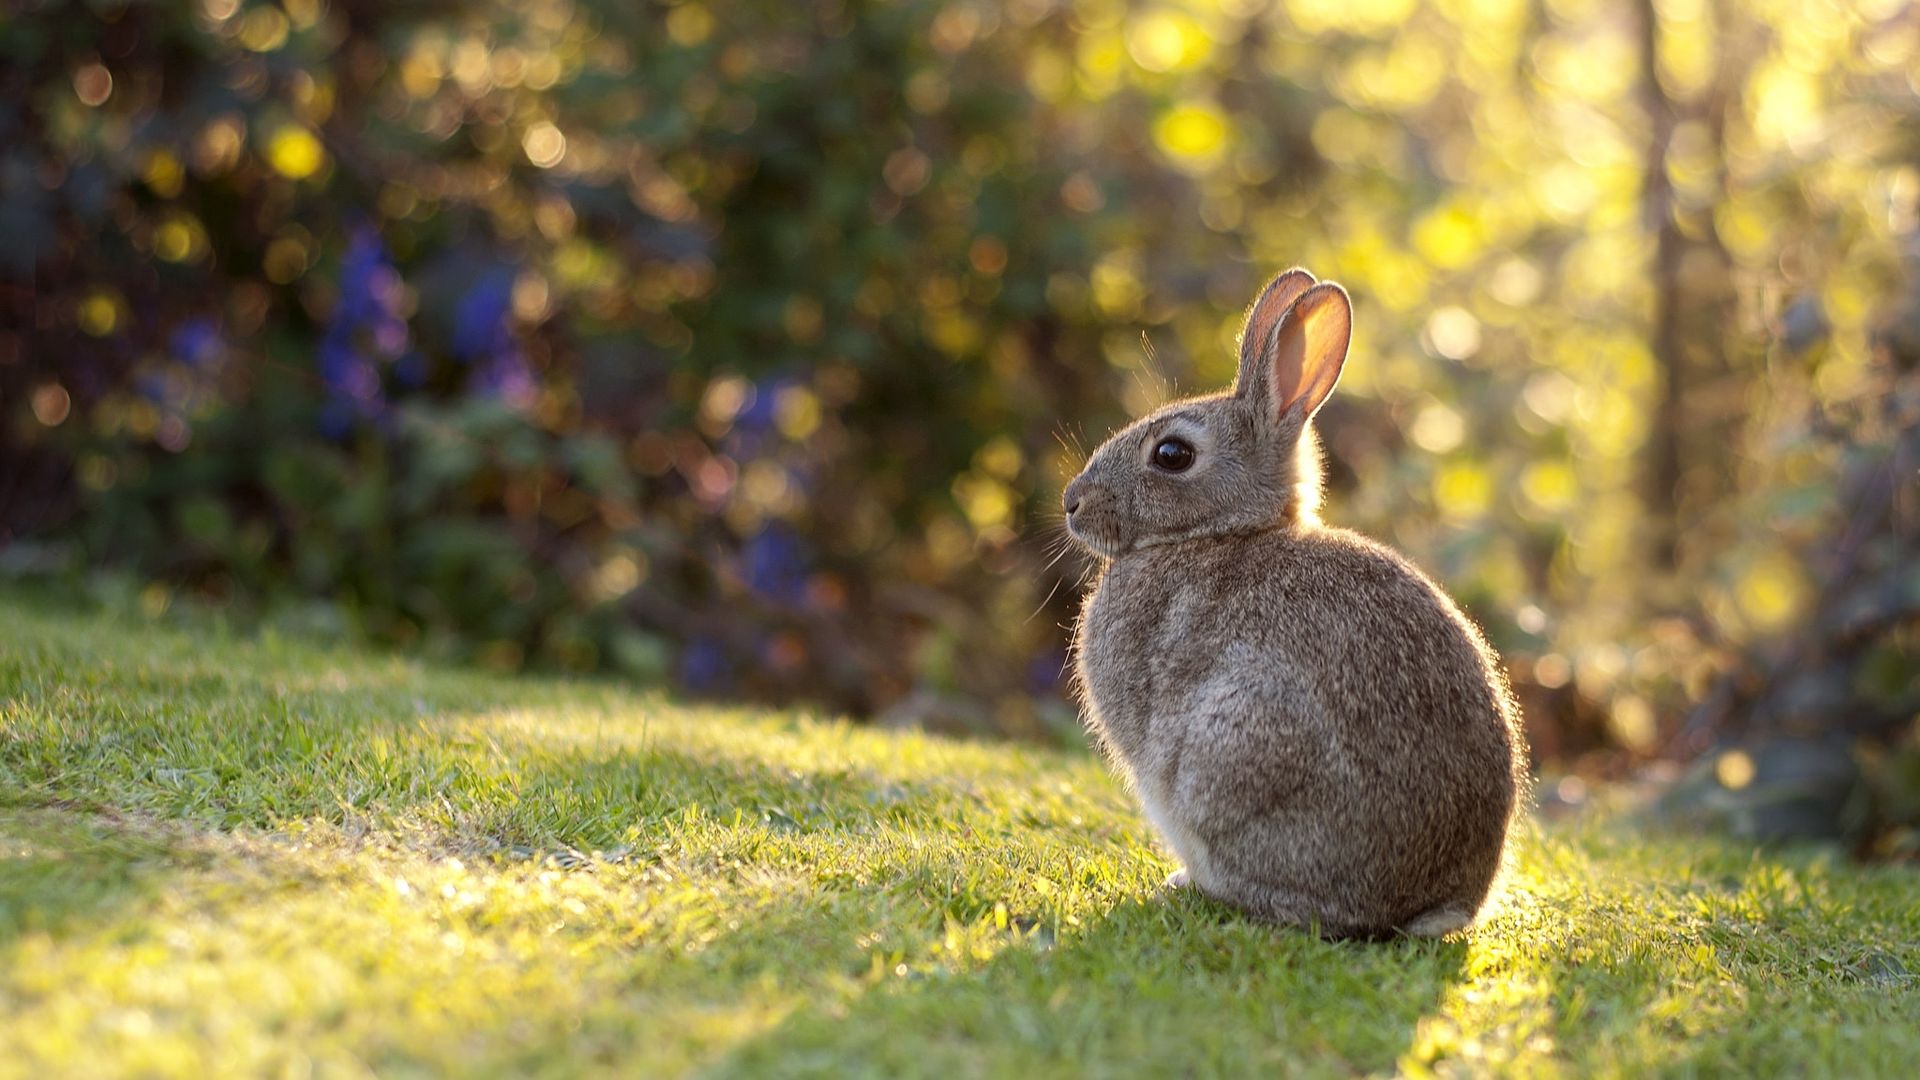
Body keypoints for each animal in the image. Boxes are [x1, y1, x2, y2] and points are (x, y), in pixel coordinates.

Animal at [1059, 267, 1520, 933]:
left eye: (1172, 454)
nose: (1072, 502)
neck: (1222, 532)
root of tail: (1430, 904)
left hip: (1238, 744)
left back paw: (1192, 884)